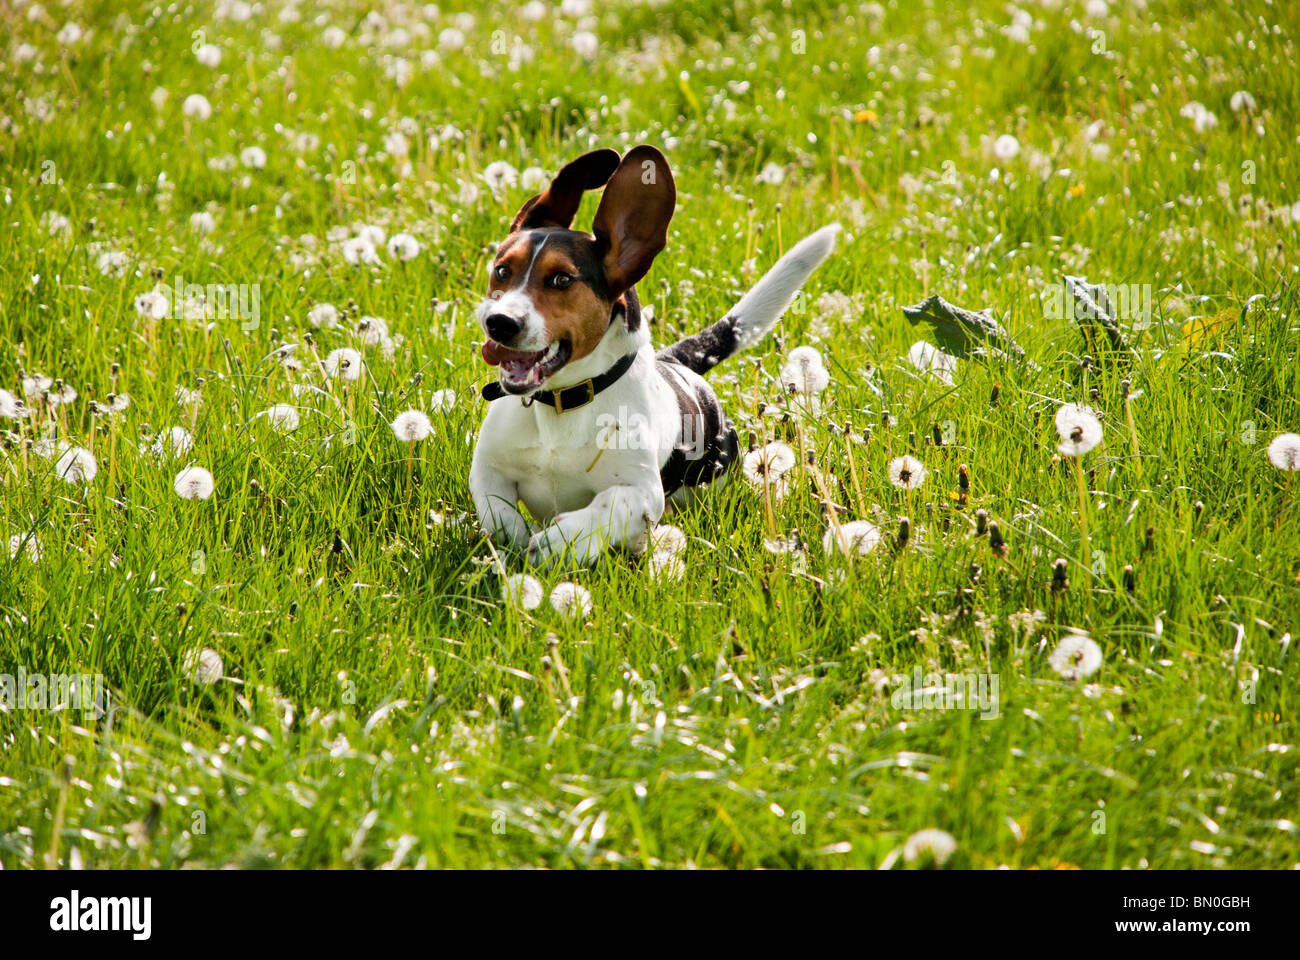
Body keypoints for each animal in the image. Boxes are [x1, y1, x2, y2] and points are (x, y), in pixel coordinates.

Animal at [473, 141, 837, 561]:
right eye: (502, 270)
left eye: (561, 279)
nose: (499, 323)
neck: (564, 402)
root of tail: (677, 361)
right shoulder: (487, 470)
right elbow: (498, 513)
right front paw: (516, 542)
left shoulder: (643, 493)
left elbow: (610, 506)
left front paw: (560, 542)